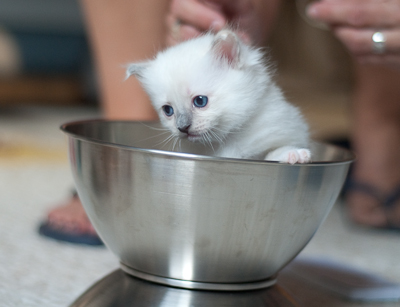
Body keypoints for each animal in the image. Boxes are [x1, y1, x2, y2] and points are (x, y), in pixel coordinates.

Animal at [126, 29, 310, 164]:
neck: (227, 139)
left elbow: (273, 152)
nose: (182, 128)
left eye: (200, 101)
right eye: (168, 110)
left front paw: (293, 154)